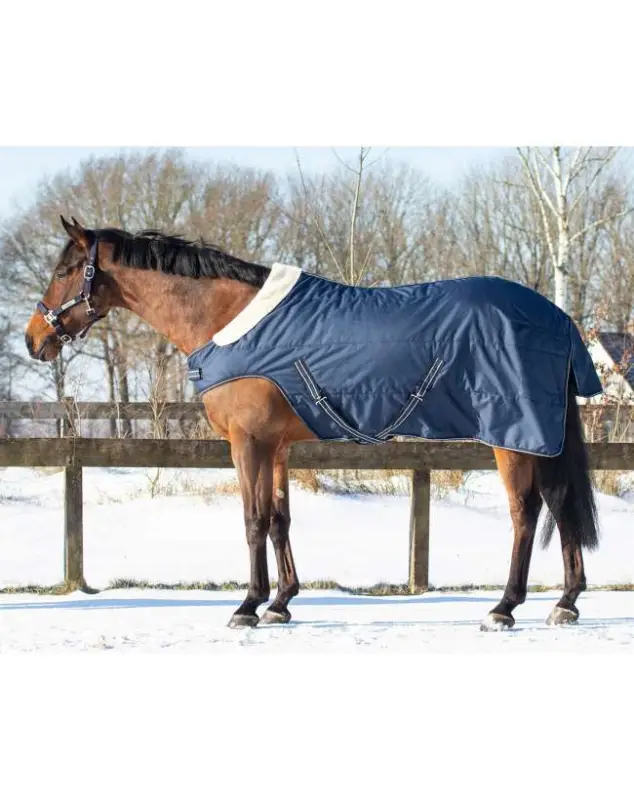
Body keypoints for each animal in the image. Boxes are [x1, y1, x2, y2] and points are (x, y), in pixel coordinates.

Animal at [24, 216, 601, 631]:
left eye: (62, 272)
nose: (34, 339)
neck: (229, 319)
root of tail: (556, 317)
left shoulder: (248, 443)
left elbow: (253, 520)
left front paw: (247, 606)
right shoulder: (277, 446)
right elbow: (280, 519)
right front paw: (281, 603)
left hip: (513, 435)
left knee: (526, 513)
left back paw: (504, 608)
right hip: (538, 438)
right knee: (559, 503)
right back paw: (566, 602)